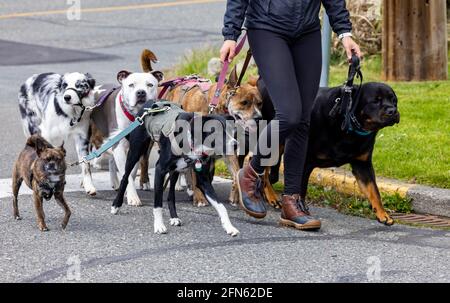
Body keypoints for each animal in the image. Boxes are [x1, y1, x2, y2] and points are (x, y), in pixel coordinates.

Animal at [110, 102, 241, 238]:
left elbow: (221, 206)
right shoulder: (160, 169)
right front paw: (159, 225)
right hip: (135, 152)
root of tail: (148, 104)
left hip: (175, 170)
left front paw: (229, 227)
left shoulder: (203, 180)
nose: (236, 144)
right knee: (125, 177)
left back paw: (174, 217)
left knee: (171, 195)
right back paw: (116, 205)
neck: (191, 141)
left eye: (232, 130)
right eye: (216, 131)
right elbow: (158, 203)